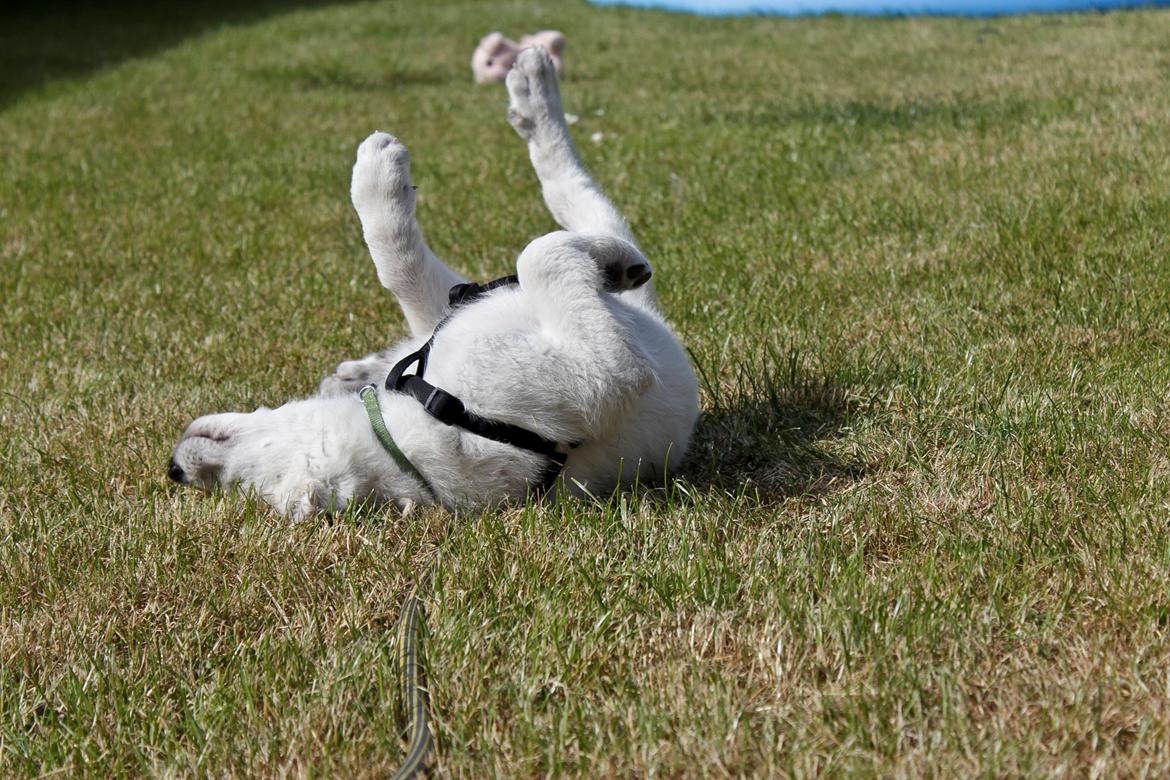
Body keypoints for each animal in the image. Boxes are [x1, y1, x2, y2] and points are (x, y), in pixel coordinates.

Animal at [164, 48, 692, 519]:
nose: (174, 470)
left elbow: (404, 261)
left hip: (465, 300)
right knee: (577, 202)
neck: (407, 433)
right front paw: (610, 260)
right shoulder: (608, 372)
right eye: (240, 488)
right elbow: (540, 253)